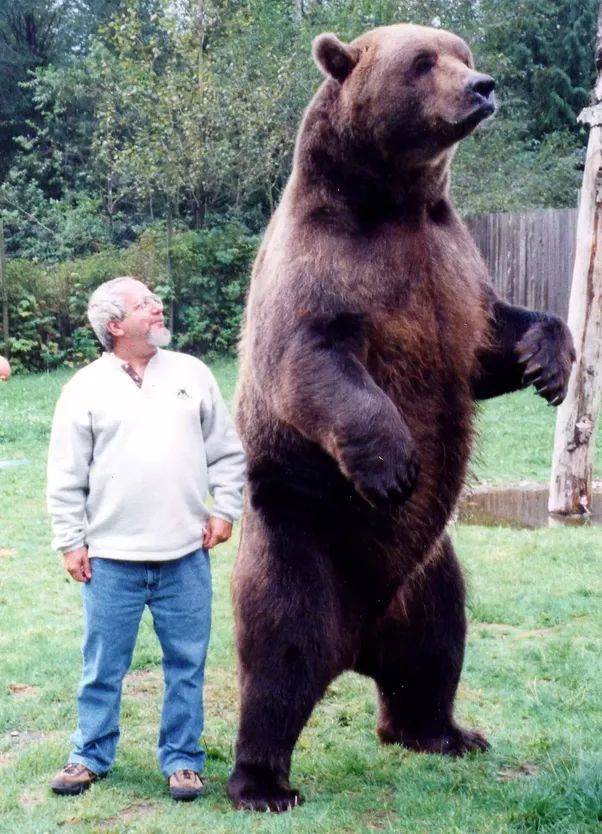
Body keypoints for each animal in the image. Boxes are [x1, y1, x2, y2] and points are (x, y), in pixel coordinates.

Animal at [229, 22, 572, 808]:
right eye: (422, 63)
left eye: (462, 53)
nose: (483, 87)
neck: (397, 202)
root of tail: (358, 639)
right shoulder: (325, 265)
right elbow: (311, 359)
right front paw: (393, 465)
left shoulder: (454, 265)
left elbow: (491, 340)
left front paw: (550, 363)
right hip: (303, 537)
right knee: (280, 655)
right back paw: (262, 781)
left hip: (429, 572)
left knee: (437, 645)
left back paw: (443, 732)